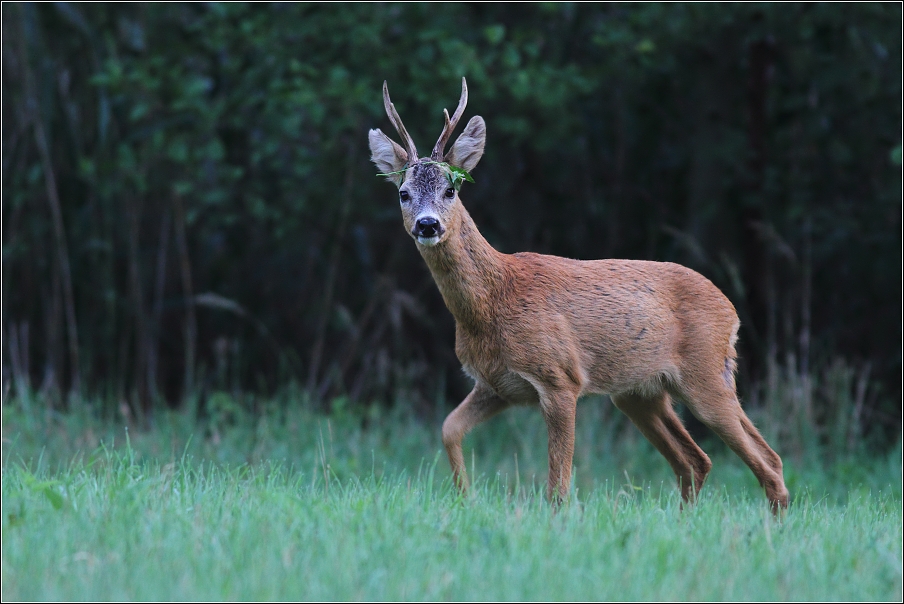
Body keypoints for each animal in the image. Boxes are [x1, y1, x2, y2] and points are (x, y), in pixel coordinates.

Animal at [368, 78, 792, 512]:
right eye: (403, 193)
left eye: (451, 189)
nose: (428, 224)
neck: (494, 301)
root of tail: (731, 311)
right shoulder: (495, 385)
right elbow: (448, 428)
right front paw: (464, 499)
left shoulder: (560, 377)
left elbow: (558, 484)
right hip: (641, 392)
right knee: (698, 460)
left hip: (703, 374)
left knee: (767, 462)